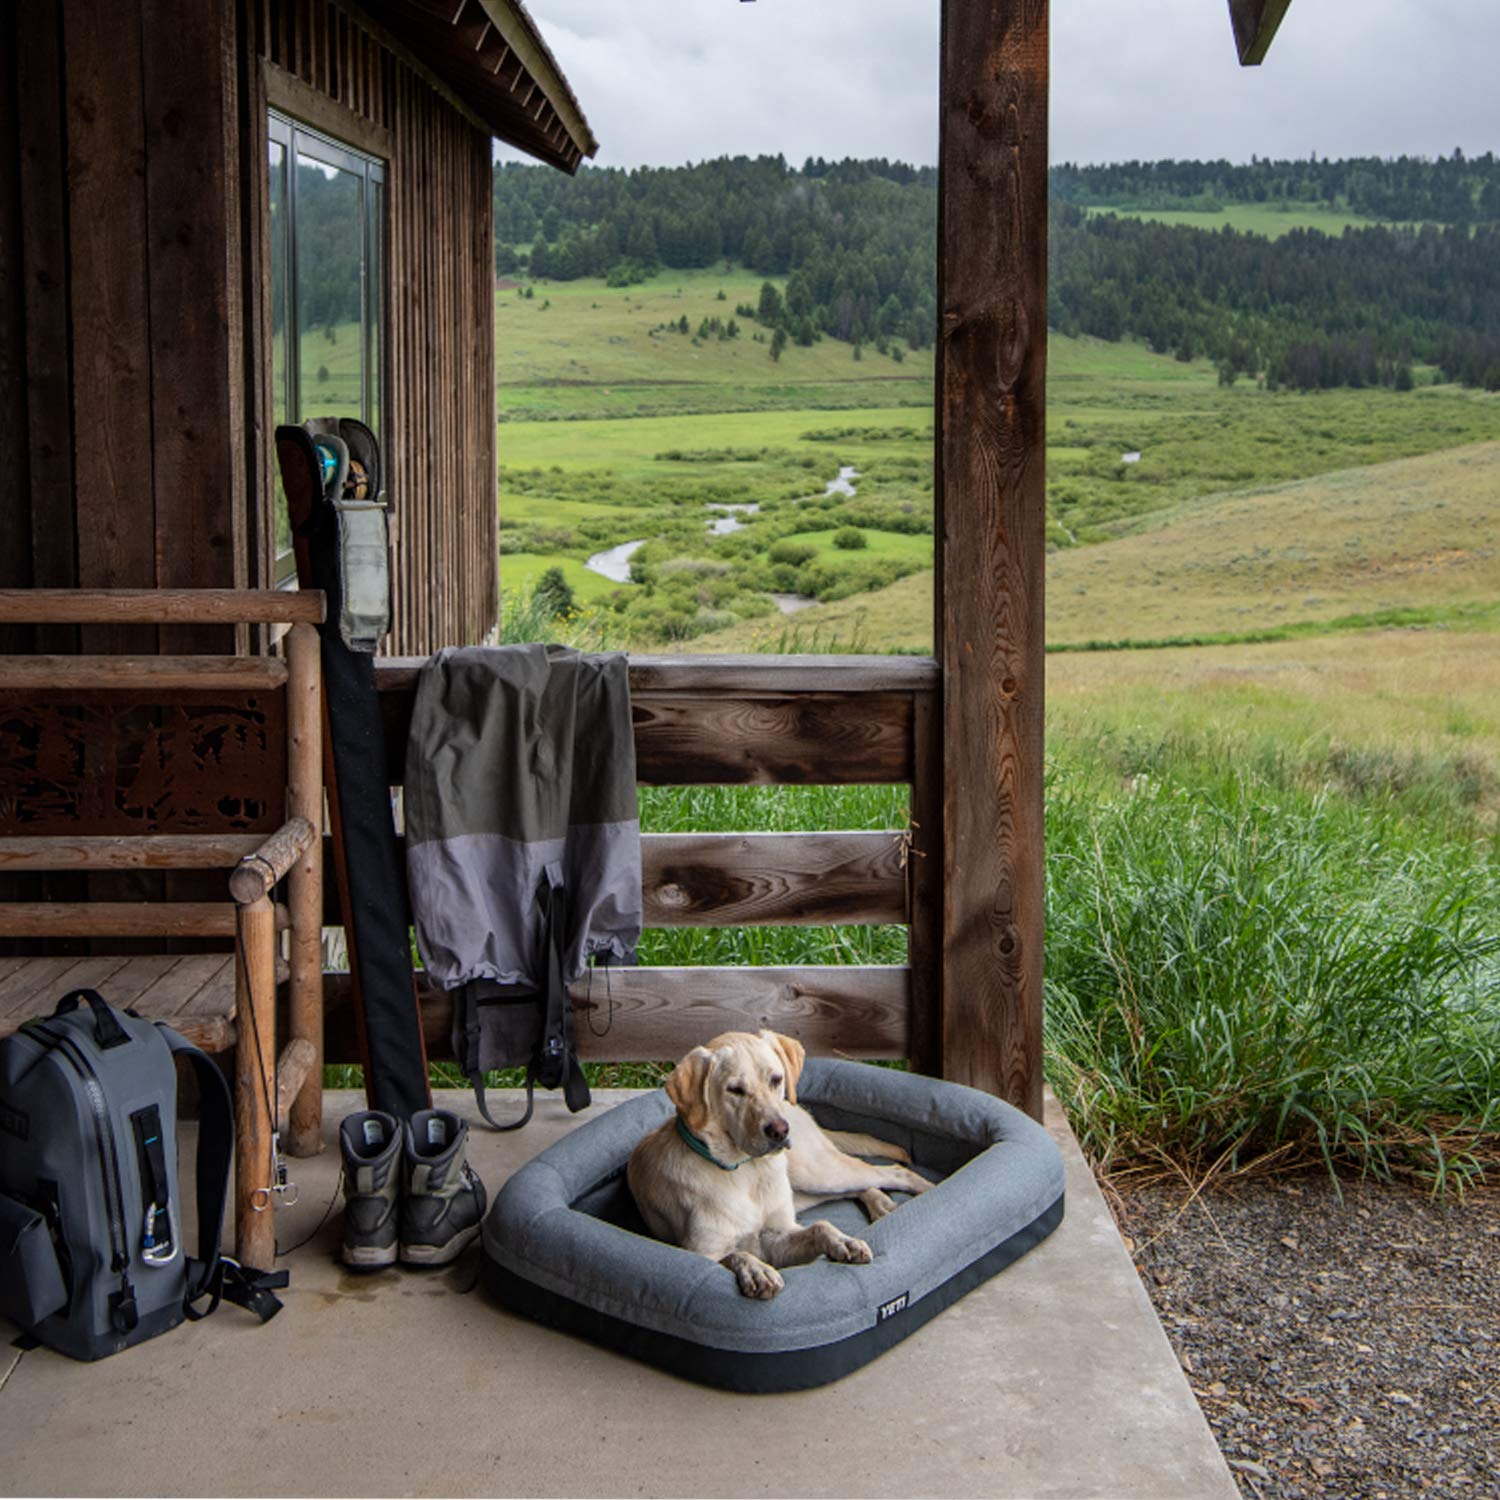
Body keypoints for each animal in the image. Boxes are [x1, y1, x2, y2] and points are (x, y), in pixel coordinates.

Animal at [627, 1026, 930, 1296]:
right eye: (734, 1089)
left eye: (776, 1079)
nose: (780, 1130)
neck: (746, 1172)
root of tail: (798, 1109)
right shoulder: (702, 1254)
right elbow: (736, 1255)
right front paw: (756, 1270)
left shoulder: (778, 1234)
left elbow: (821, 1226)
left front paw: (845, 1241)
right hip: (806, 1189)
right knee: (864, 1183)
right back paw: (882, 1204)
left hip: (815, 1172)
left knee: (892, 1171)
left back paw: (925, 1191)